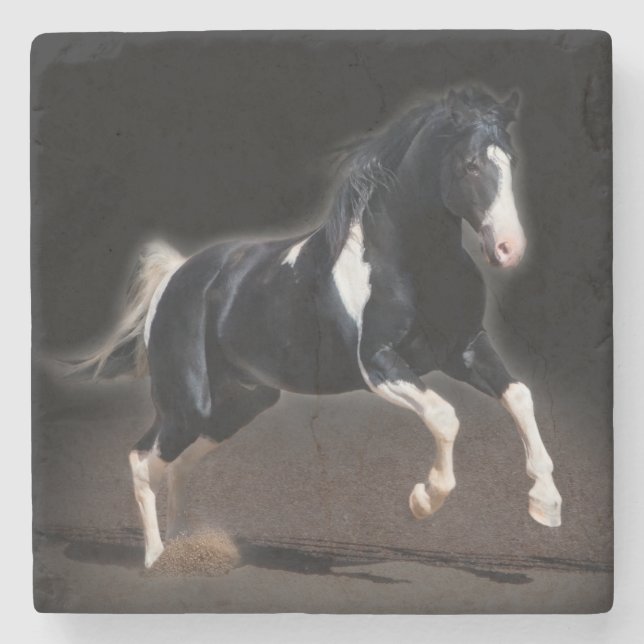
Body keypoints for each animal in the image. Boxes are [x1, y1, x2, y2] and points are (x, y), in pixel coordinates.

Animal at [71, 86, 562, 568]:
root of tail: (175, 276)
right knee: (142, 460)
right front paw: (423, 500)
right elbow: (445, 415)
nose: (509, 249)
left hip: (237, 405)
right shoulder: (378, 365)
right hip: (187, 405)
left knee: (177, 465)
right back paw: (157, 559)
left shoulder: (465, 349)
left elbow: (520, 396)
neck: (411, 264)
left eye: (511, 161)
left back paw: (182, 548)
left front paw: (546, 505)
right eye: (471, 164)